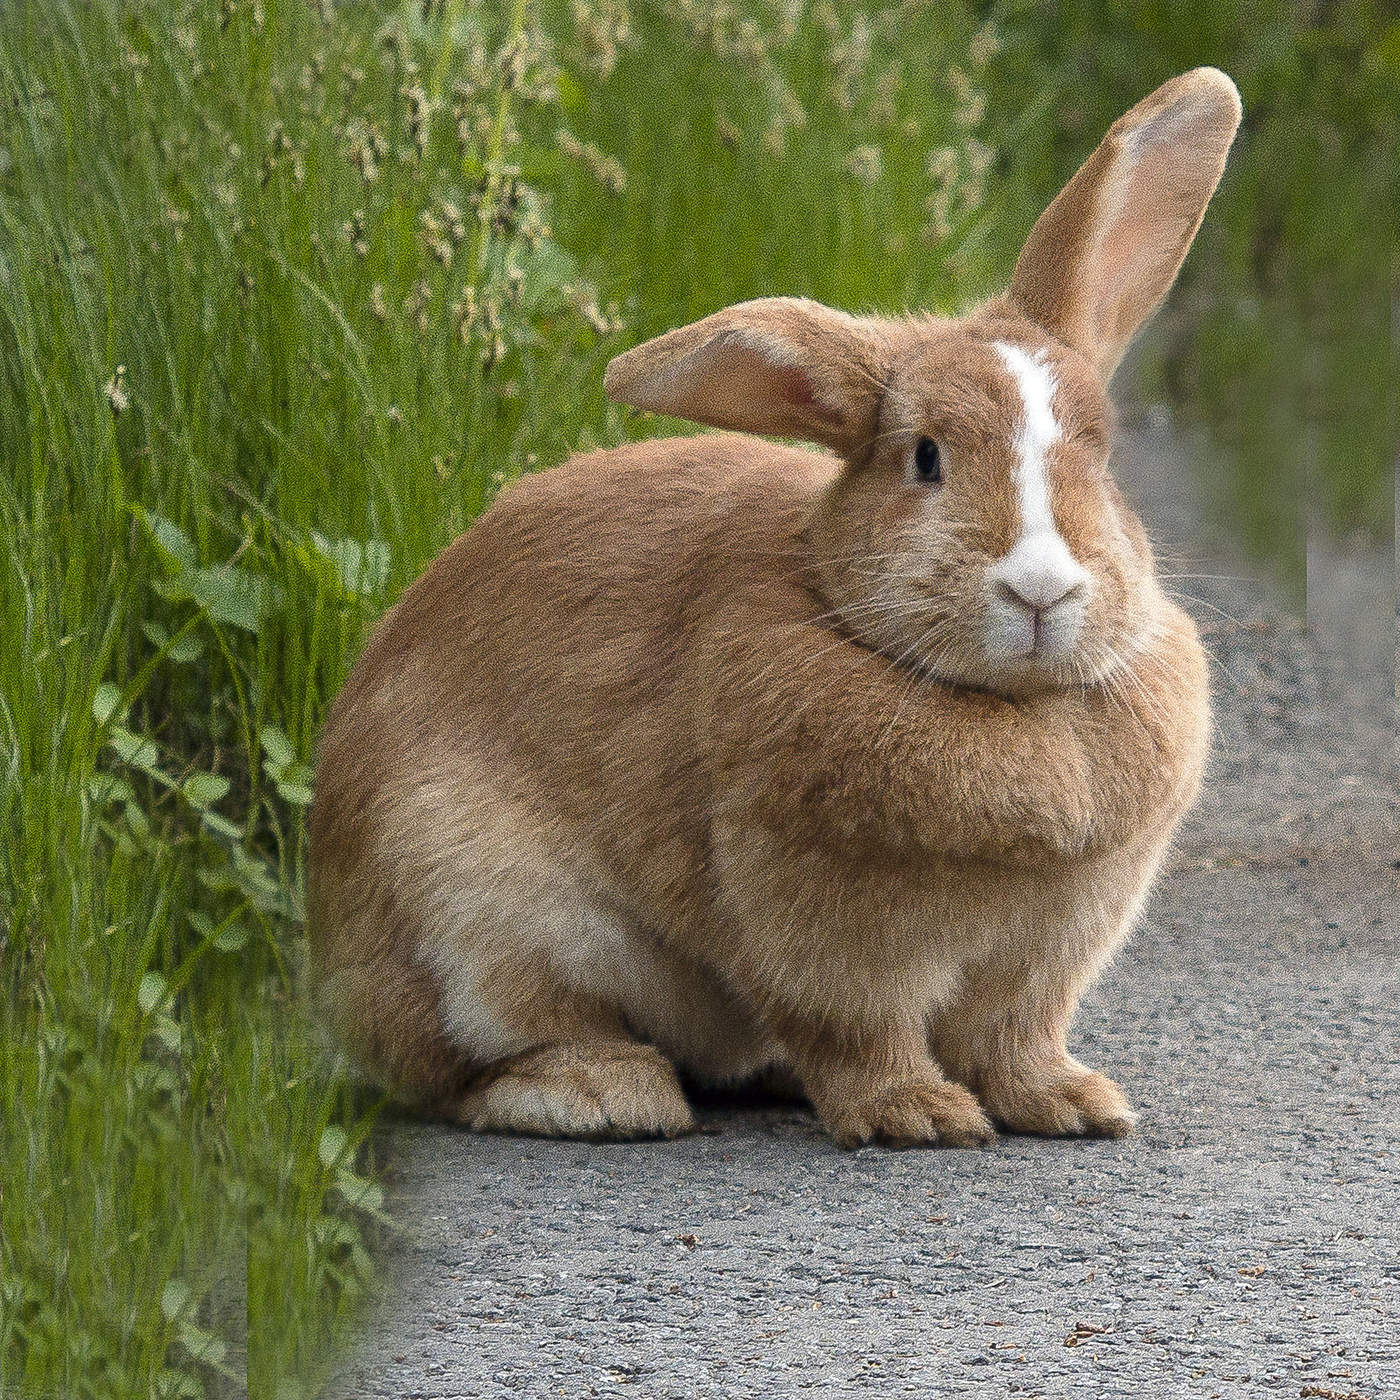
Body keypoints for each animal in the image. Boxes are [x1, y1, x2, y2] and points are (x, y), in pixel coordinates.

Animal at [306, 68, 1237, 1148]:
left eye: (1105, 457)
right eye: (924, 457)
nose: (1040, 587)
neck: (1011, 709)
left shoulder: (1041, 959)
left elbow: (1017, 1037)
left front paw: (1073, 1104)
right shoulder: (823, 935)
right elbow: (858, 1032)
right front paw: (918, 1114)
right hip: (476, 911)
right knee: (472, 1062)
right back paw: (607, 1093)